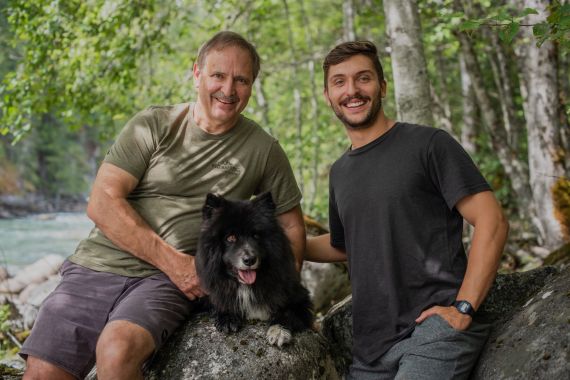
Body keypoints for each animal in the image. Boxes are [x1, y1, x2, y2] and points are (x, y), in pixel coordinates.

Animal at [194, 194, 310, 346]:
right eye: (231, 238)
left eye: (256, 235)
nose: (249, 260)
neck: (246, 287)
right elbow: (219, 303)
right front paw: (227, 317)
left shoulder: (300, 299)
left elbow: (287, 313)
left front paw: (278, 331)